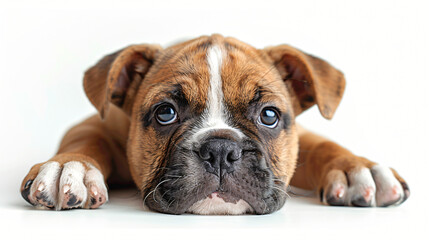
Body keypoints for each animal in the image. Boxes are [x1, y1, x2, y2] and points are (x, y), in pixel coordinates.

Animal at [19, 33, 408, 214]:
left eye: (269, 115)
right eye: (165, 112)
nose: (220, 149)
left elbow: (322, 145)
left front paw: (358, 168)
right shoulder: (100, 124)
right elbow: (85, 138)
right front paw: (70, 168)